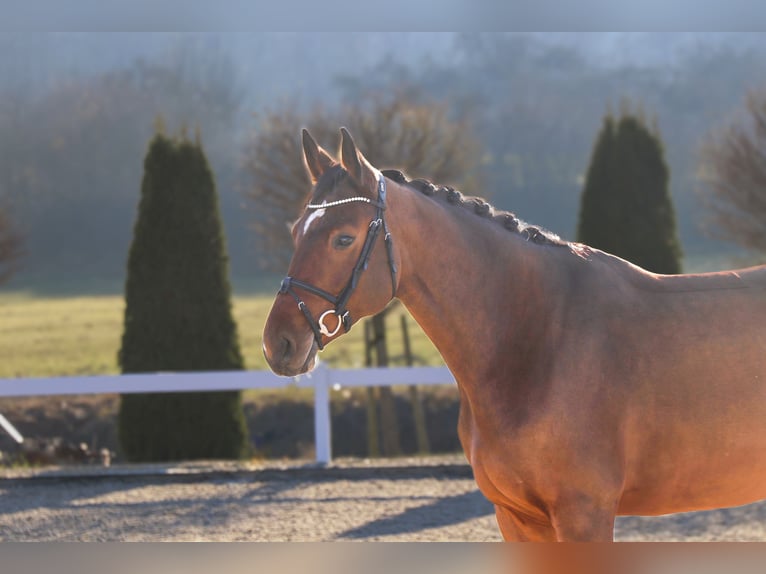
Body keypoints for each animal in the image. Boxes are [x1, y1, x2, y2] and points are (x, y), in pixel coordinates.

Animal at [262, 127, 766, 544]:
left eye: (343, 238)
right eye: (296, 231)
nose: (278, 343)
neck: (539, 336)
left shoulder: (585, 515)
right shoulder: (518, 518)